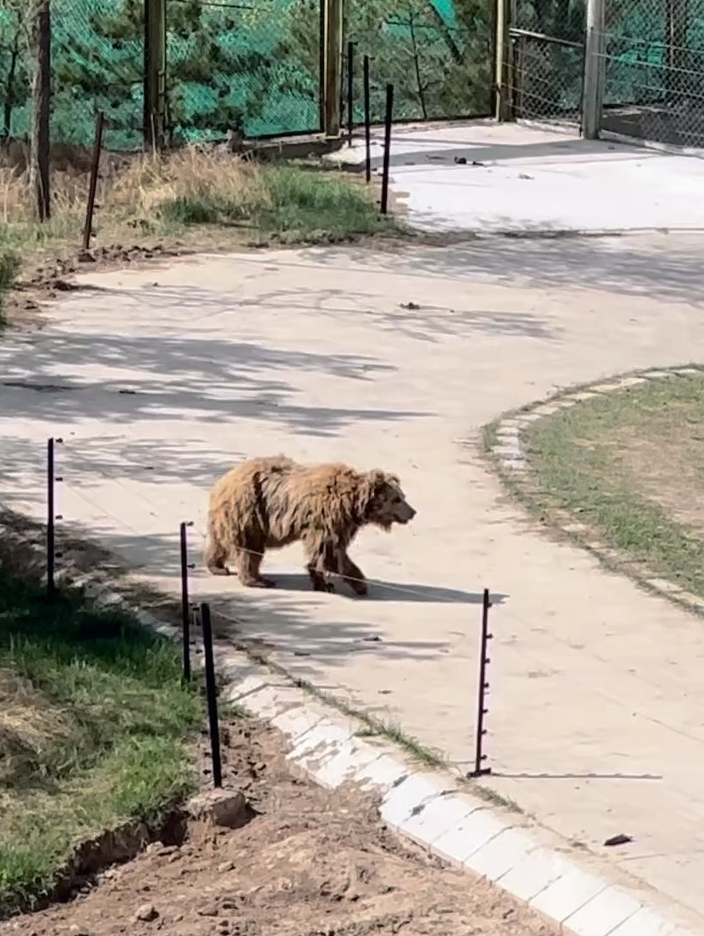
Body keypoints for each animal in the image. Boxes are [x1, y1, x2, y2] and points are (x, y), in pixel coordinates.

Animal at [204, 458, 416, 596]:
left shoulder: (340, 523)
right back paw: (256, 580)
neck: (353, 504)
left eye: (402, 496)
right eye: (397, 499)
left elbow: (331, 552)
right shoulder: (327, 518)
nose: (413, 512)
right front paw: (358, 584)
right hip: (251, 511)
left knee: (222, 543)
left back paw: (218, 566)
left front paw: (324, 582)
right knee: (249, 549)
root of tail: (222, 482)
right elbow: (331, 553)